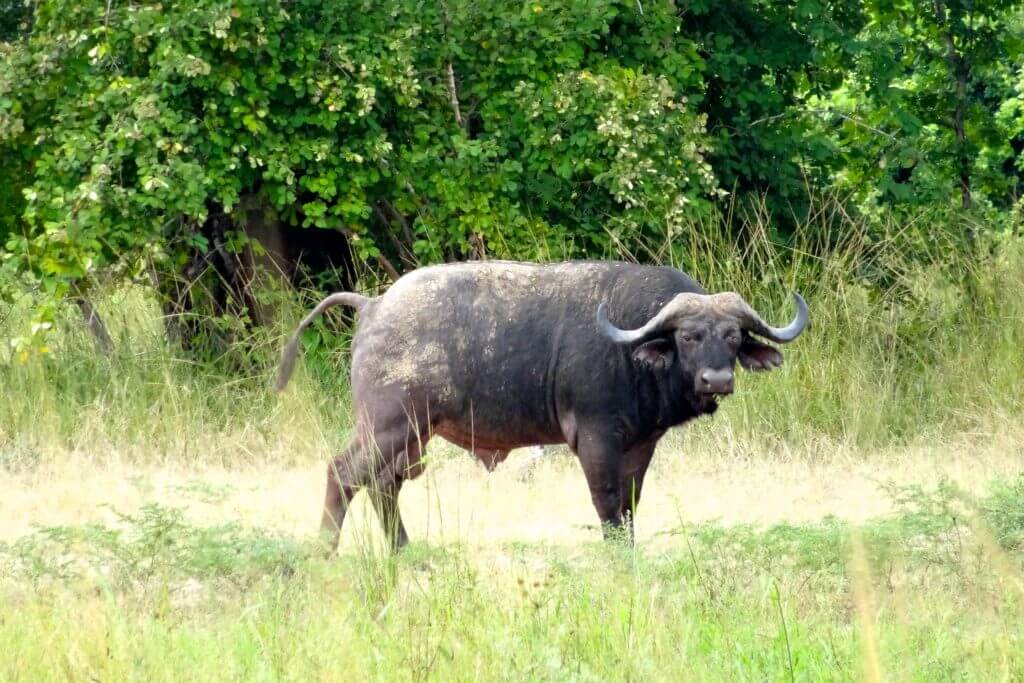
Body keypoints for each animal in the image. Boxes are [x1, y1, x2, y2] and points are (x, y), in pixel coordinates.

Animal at [274, 259, 806, 552]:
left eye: (733, 336)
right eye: (689, 336)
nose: (717, 380)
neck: (630, 348)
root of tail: (374, 306)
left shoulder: (641, 444)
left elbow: (630, 505)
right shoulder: (594, 439)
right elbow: (607, 503)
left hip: (412, 434)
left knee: (385, 484)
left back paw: (403, 549)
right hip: (388, 425)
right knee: (344, 473)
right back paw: (325, 550)